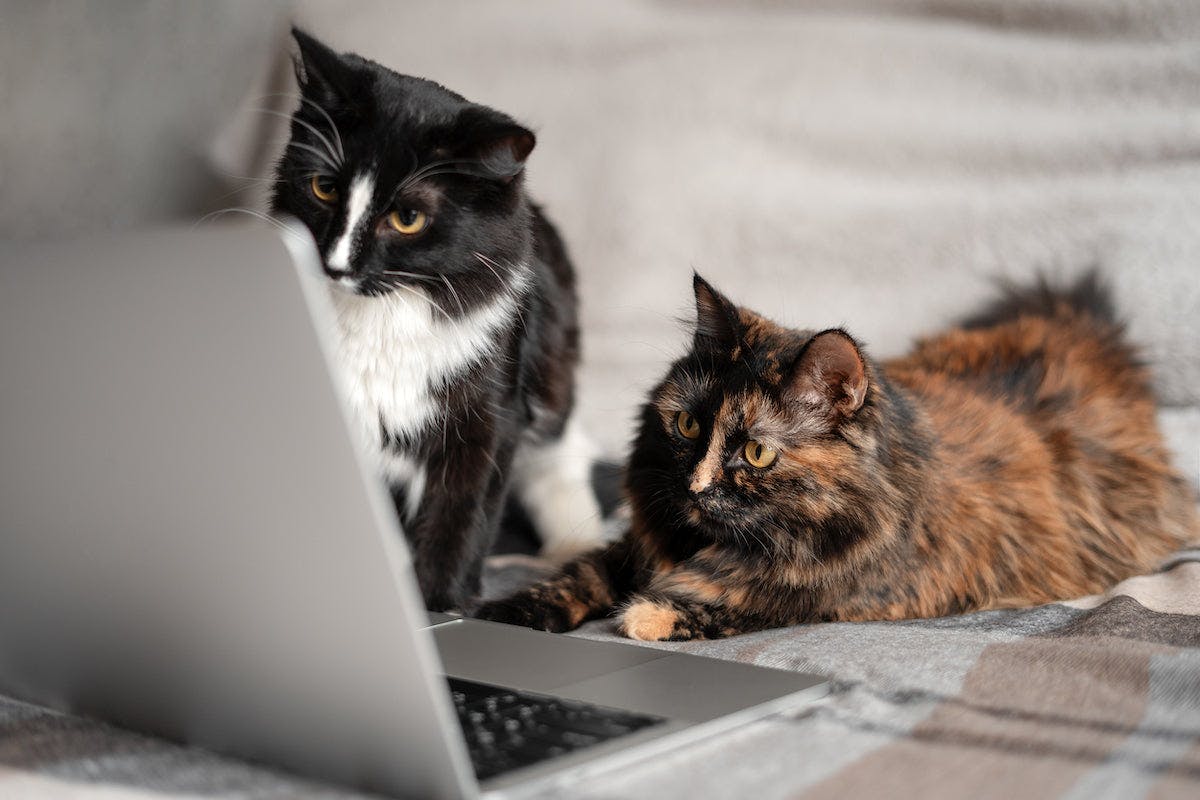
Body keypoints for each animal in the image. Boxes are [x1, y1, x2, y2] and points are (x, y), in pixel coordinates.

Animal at [276, 28, 604, 609]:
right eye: (324, 188)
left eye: (408, 218)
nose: (336, 265)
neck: (382, 316)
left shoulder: (488, 414)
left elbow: (461, 513)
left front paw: (442, 605)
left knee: (563, 461)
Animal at [472, 273, 1195, 638]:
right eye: (685, 424)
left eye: (756, 452)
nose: (695, 489)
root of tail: (1078, 334)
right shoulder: (639, 542)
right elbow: (583, 575)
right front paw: (509, 613)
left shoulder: (847, 590)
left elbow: (741, 600)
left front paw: (651, 613)